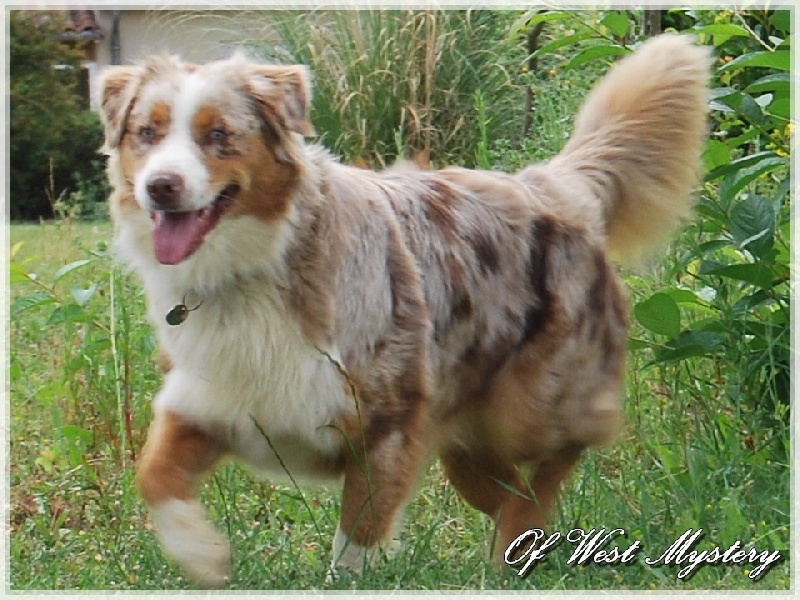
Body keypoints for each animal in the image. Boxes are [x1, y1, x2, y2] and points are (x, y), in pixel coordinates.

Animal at [97, 34, 708, 584]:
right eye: (146, 133)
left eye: (217, 135)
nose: (161, 186)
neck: (256, 267)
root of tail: (550, 185)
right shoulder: (209, 402)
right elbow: (152, 474)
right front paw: (201, 554)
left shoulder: (385, 419)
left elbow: (359, 533)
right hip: (463, 445)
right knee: (510, 488)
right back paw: (516, 550)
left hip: (527, 408)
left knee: (562, 454)